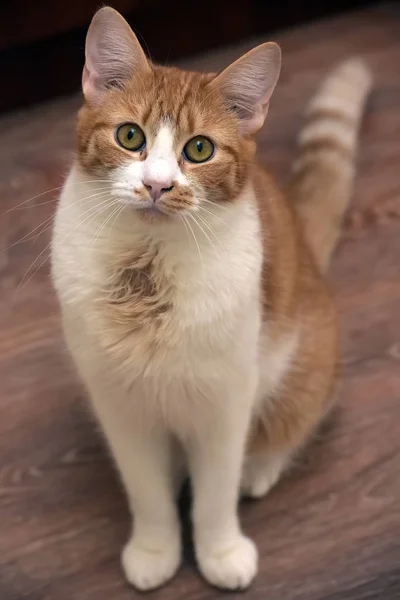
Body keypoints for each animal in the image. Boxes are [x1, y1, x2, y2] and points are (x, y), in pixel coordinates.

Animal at [50, 5, 372, 592]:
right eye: (129, 136)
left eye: (198, 149)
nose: (157, 185)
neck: (147, 276)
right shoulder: (119, 406)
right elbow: (148, 494)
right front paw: (156, 550)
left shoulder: (224, 404)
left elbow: (215, 496)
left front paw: (220, 551)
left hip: (301, 367)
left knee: (291, 424)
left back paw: (259, 469)